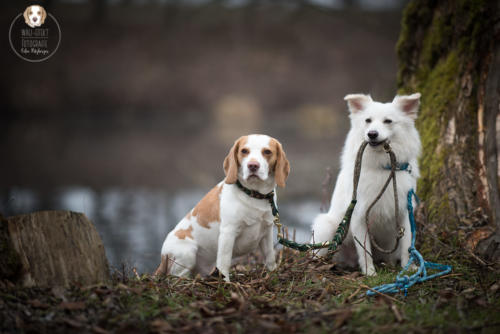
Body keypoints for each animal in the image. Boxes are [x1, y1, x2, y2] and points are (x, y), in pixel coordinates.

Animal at [155, 134, 290, 280]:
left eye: (267, 152)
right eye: (244, 151)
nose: (253, 166)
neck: (254, 195)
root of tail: (163, 256)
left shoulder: (266, 232)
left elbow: (270, 257)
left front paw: (273, 275)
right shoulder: (228, 233)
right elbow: (224, 262)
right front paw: (226, 282)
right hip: (187, 253)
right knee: (178, 277)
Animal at [312, 92, 422, 276]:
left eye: (388, 121)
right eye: (368, 120)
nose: (372, 134)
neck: (383, 168)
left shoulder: (404, 213)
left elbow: (407, 245)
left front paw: (408, 269)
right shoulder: (358, 216)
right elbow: (364, 250)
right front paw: (370, 273)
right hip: (327, 227)